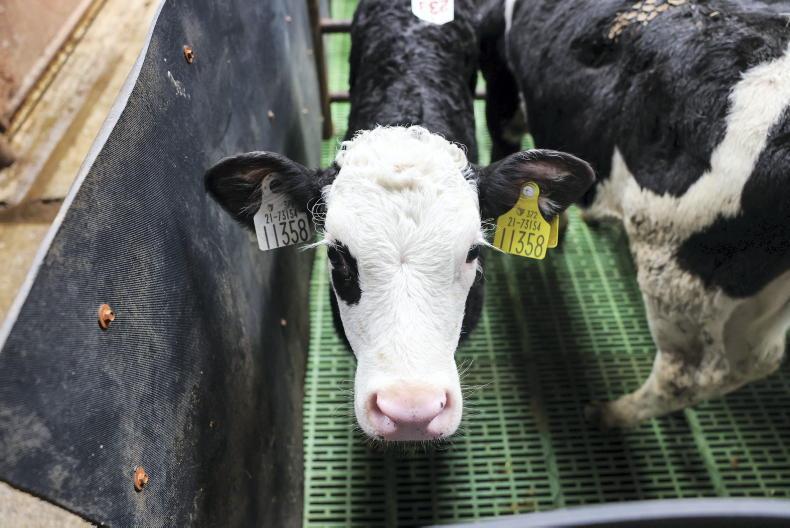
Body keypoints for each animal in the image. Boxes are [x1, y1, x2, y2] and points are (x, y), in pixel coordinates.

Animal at [481, 0, 790, 428]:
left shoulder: (502, 88)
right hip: (762, 291)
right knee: (755, 361)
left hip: (676, 271)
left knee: (683, 375)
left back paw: (609, 413)